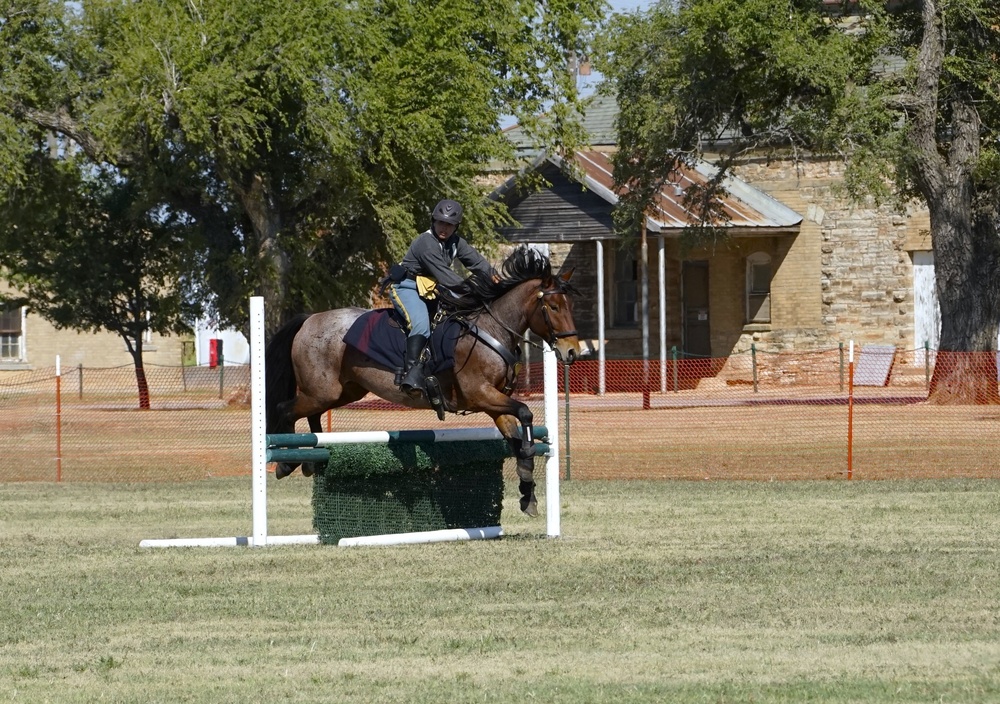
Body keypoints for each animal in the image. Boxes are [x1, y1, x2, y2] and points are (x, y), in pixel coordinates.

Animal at [264, 248, 584, 516]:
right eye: (553, 306)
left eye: (569, 304)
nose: (572, 352)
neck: (491, 330)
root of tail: (310, 319)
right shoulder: (481, 394)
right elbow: (525, 413)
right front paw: (529, 462)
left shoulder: (494, 404)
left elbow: (517, 438)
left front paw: (528, 493)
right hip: (322, 391)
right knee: (284, 409)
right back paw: (287, 463)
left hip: (343, 391)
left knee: (312, 415)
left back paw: (314, 458)